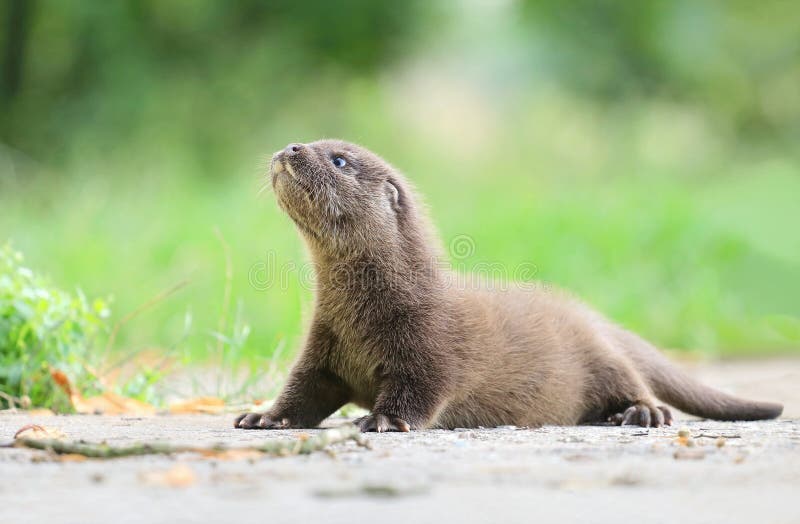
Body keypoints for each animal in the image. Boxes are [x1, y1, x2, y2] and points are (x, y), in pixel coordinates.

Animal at [234, 139, 784, 430]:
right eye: (310, 143)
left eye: (339, 160)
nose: (290, 146)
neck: (363, 314)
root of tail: (591, 316)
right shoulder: (323, 347)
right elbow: (303, 391)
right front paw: (264, 417)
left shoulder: (430, 349)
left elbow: (420, 393)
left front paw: (383, 421)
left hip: (598, 356)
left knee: (632, 379)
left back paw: (642, 413)